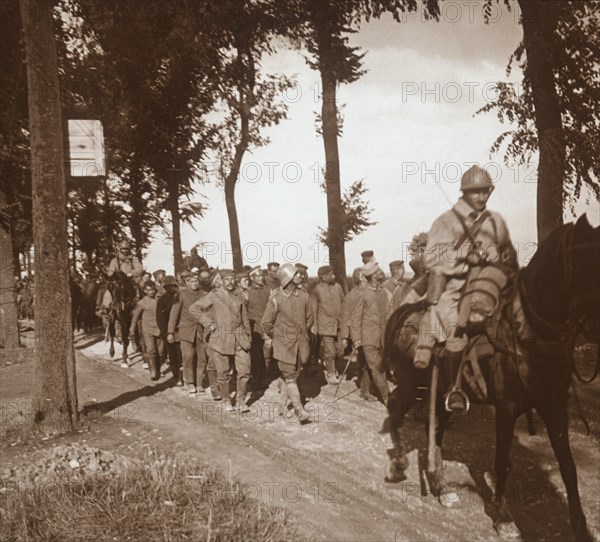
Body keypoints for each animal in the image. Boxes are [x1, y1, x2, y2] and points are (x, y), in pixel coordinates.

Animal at [384, 217, 600, 542]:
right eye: (587, 263)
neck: (528, 333)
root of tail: (407, 309)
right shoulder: (506, 408)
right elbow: (502, 463)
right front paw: (502, 516)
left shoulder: (554, 405)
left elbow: (568, 466)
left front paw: (579, 525)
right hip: (410, 382)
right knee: (395, 409)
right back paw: (398, 464)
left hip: (441, 393)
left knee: (433, 429)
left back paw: (441, 487)